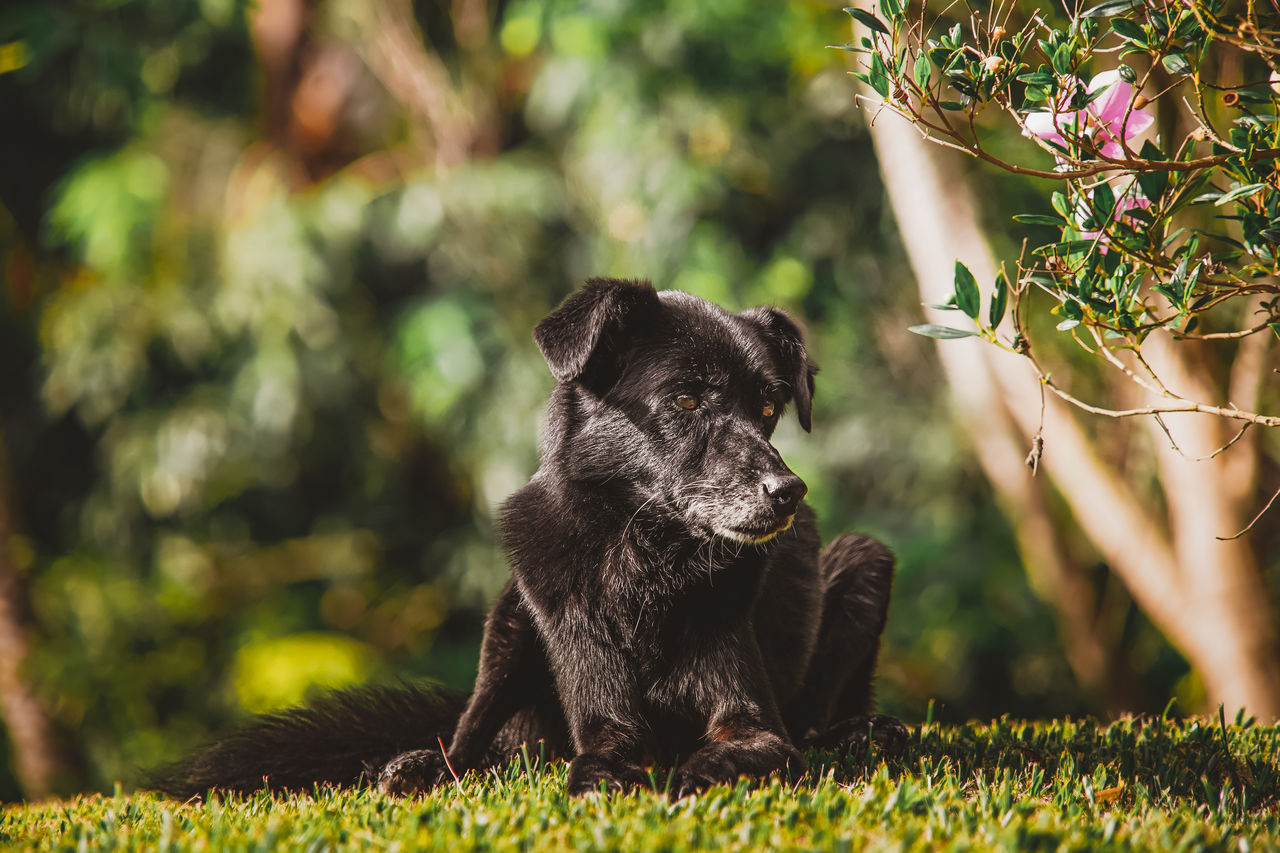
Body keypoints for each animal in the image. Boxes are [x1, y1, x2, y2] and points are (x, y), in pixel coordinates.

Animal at [157, 279, 901, 799]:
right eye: (688, 400)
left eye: (769, 408)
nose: (789, 491)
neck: (646, 561)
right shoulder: (598, 708)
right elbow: (600, 758)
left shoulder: (757, 723)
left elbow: (740, 750)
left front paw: (699, 772)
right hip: (512, 618)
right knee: (470, 736)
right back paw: (423, 764)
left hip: (867, 558)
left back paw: (860, 729)